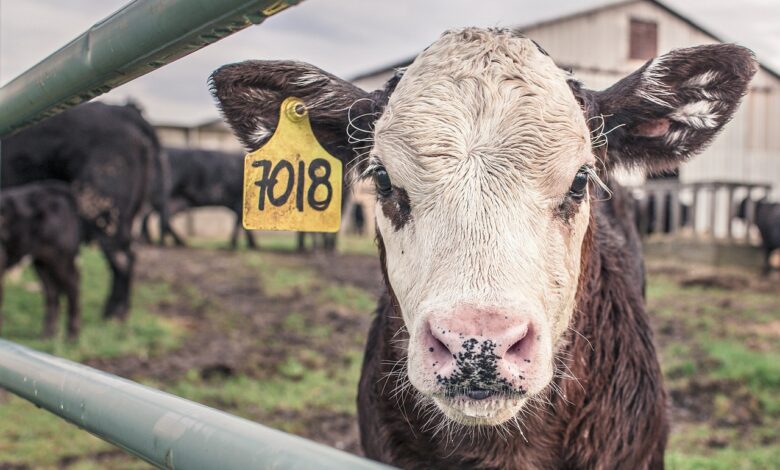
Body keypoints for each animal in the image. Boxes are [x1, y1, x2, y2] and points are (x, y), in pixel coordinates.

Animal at [0, 182, 81, 338]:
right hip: (42, 261)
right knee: (52, 292)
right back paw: (47, 334)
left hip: (61, 257)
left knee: (73, 285)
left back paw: (72, 335)